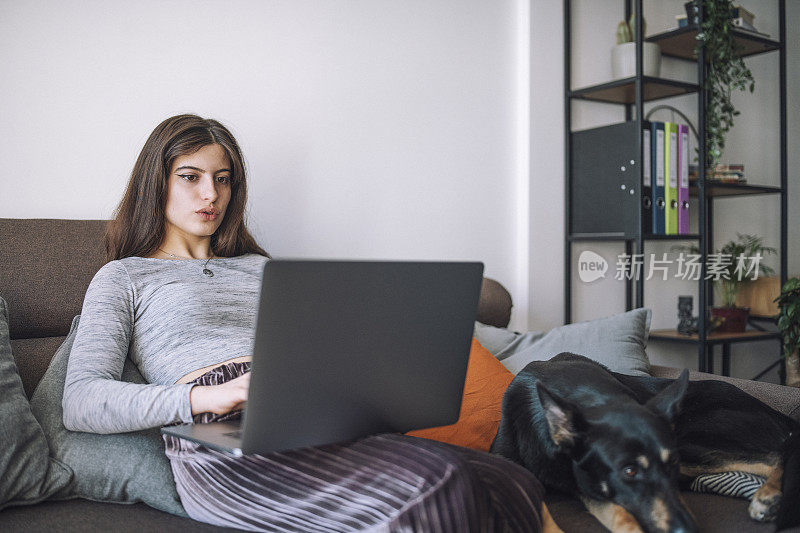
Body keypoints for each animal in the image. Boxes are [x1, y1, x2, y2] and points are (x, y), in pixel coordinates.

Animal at [488, 352, 800, 528]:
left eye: (671, 466)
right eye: (629, 472)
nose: (687, 528)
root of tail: (782, 417)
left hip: (691, 441)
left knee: (774, 454)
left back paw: (769, 496)